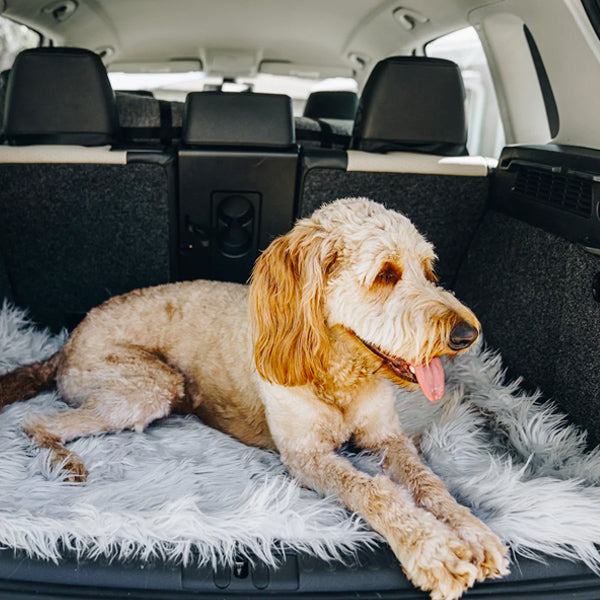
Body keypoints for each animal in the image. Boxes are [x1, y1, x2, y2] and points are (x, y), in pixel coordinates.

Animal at [0, 198, 508, 600]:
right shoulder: (306, 457)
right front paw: (431, 548)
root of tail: (68, 343)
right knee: (37, 423)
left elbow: (429, 483)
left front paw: (473, 532)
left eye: (429, 270)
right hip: (150, 385)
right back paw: (63, 460)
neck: (336, 371)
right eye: (385, 274)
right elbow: (373, 490)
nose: (467, 334)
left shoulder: (387, 438)